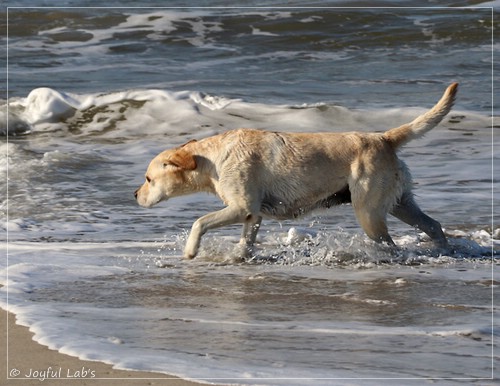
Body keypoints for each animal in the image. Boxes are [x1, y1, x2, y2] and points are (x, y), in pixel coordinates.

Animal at [136, 84, 458, 260]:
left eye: (149, 179)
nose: (135, 194)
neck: (213, 158)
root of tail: (384, 138)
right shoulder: (253, 215)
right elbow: (246, 241)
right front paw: (240, 258)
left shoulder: (241, 208)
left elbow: (199, 222)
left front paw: (190, 251)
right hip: (400, 203)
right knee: (433, 225)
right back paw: (445, 250)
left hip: (368, 211)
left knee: (390, 243)